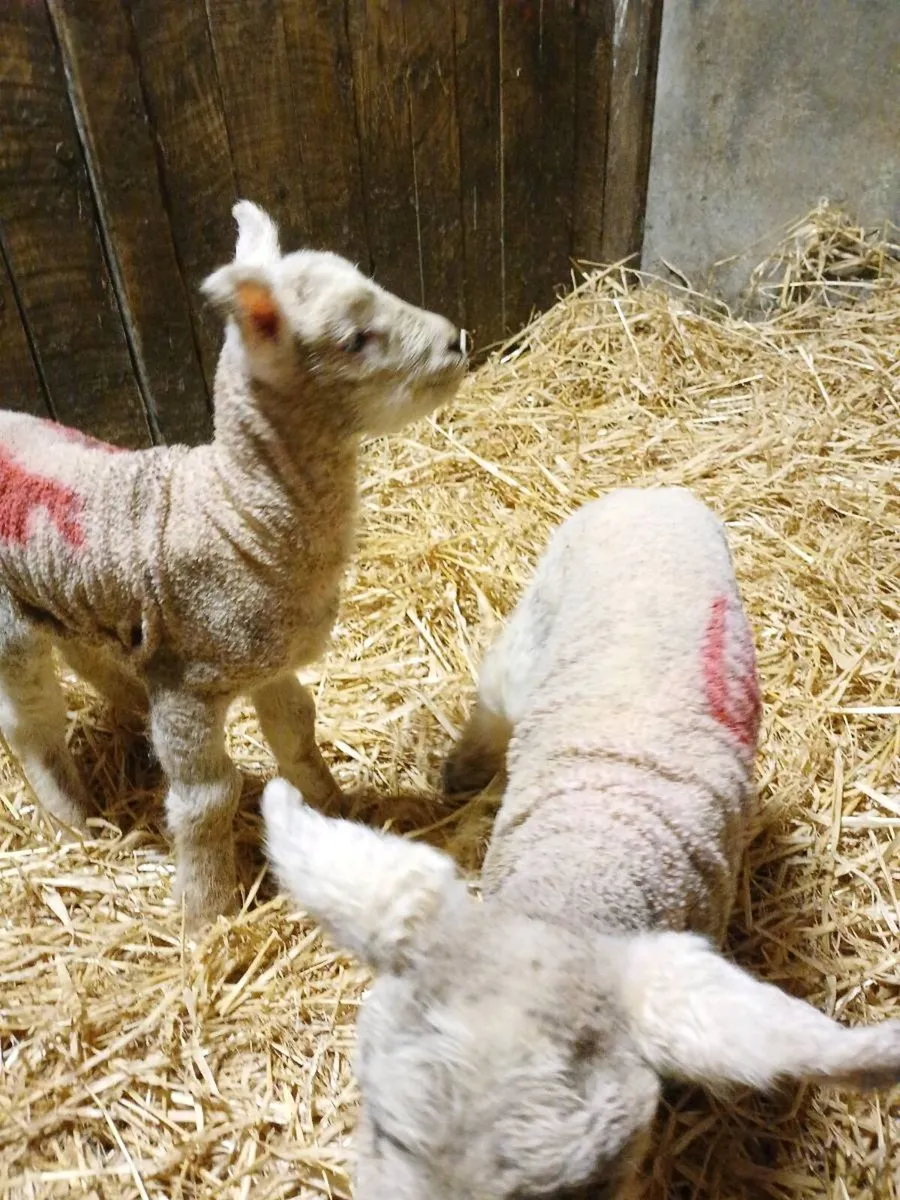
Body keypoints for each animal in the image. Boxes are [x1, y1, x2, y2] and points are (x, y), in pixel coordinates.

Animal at [0, 199, 468, 929]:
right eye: (355, 338)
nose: (458, 341)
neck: (238, 511)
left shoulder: (265, 662)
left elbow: (297, 732)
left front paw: (335, 811)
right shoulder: (188, 685)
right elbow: (207, 798)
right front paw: (206, 910)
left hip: (67, 599)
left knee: (88, 657)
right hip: (10, 628)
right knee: (31, 724)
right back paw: (74, 822)